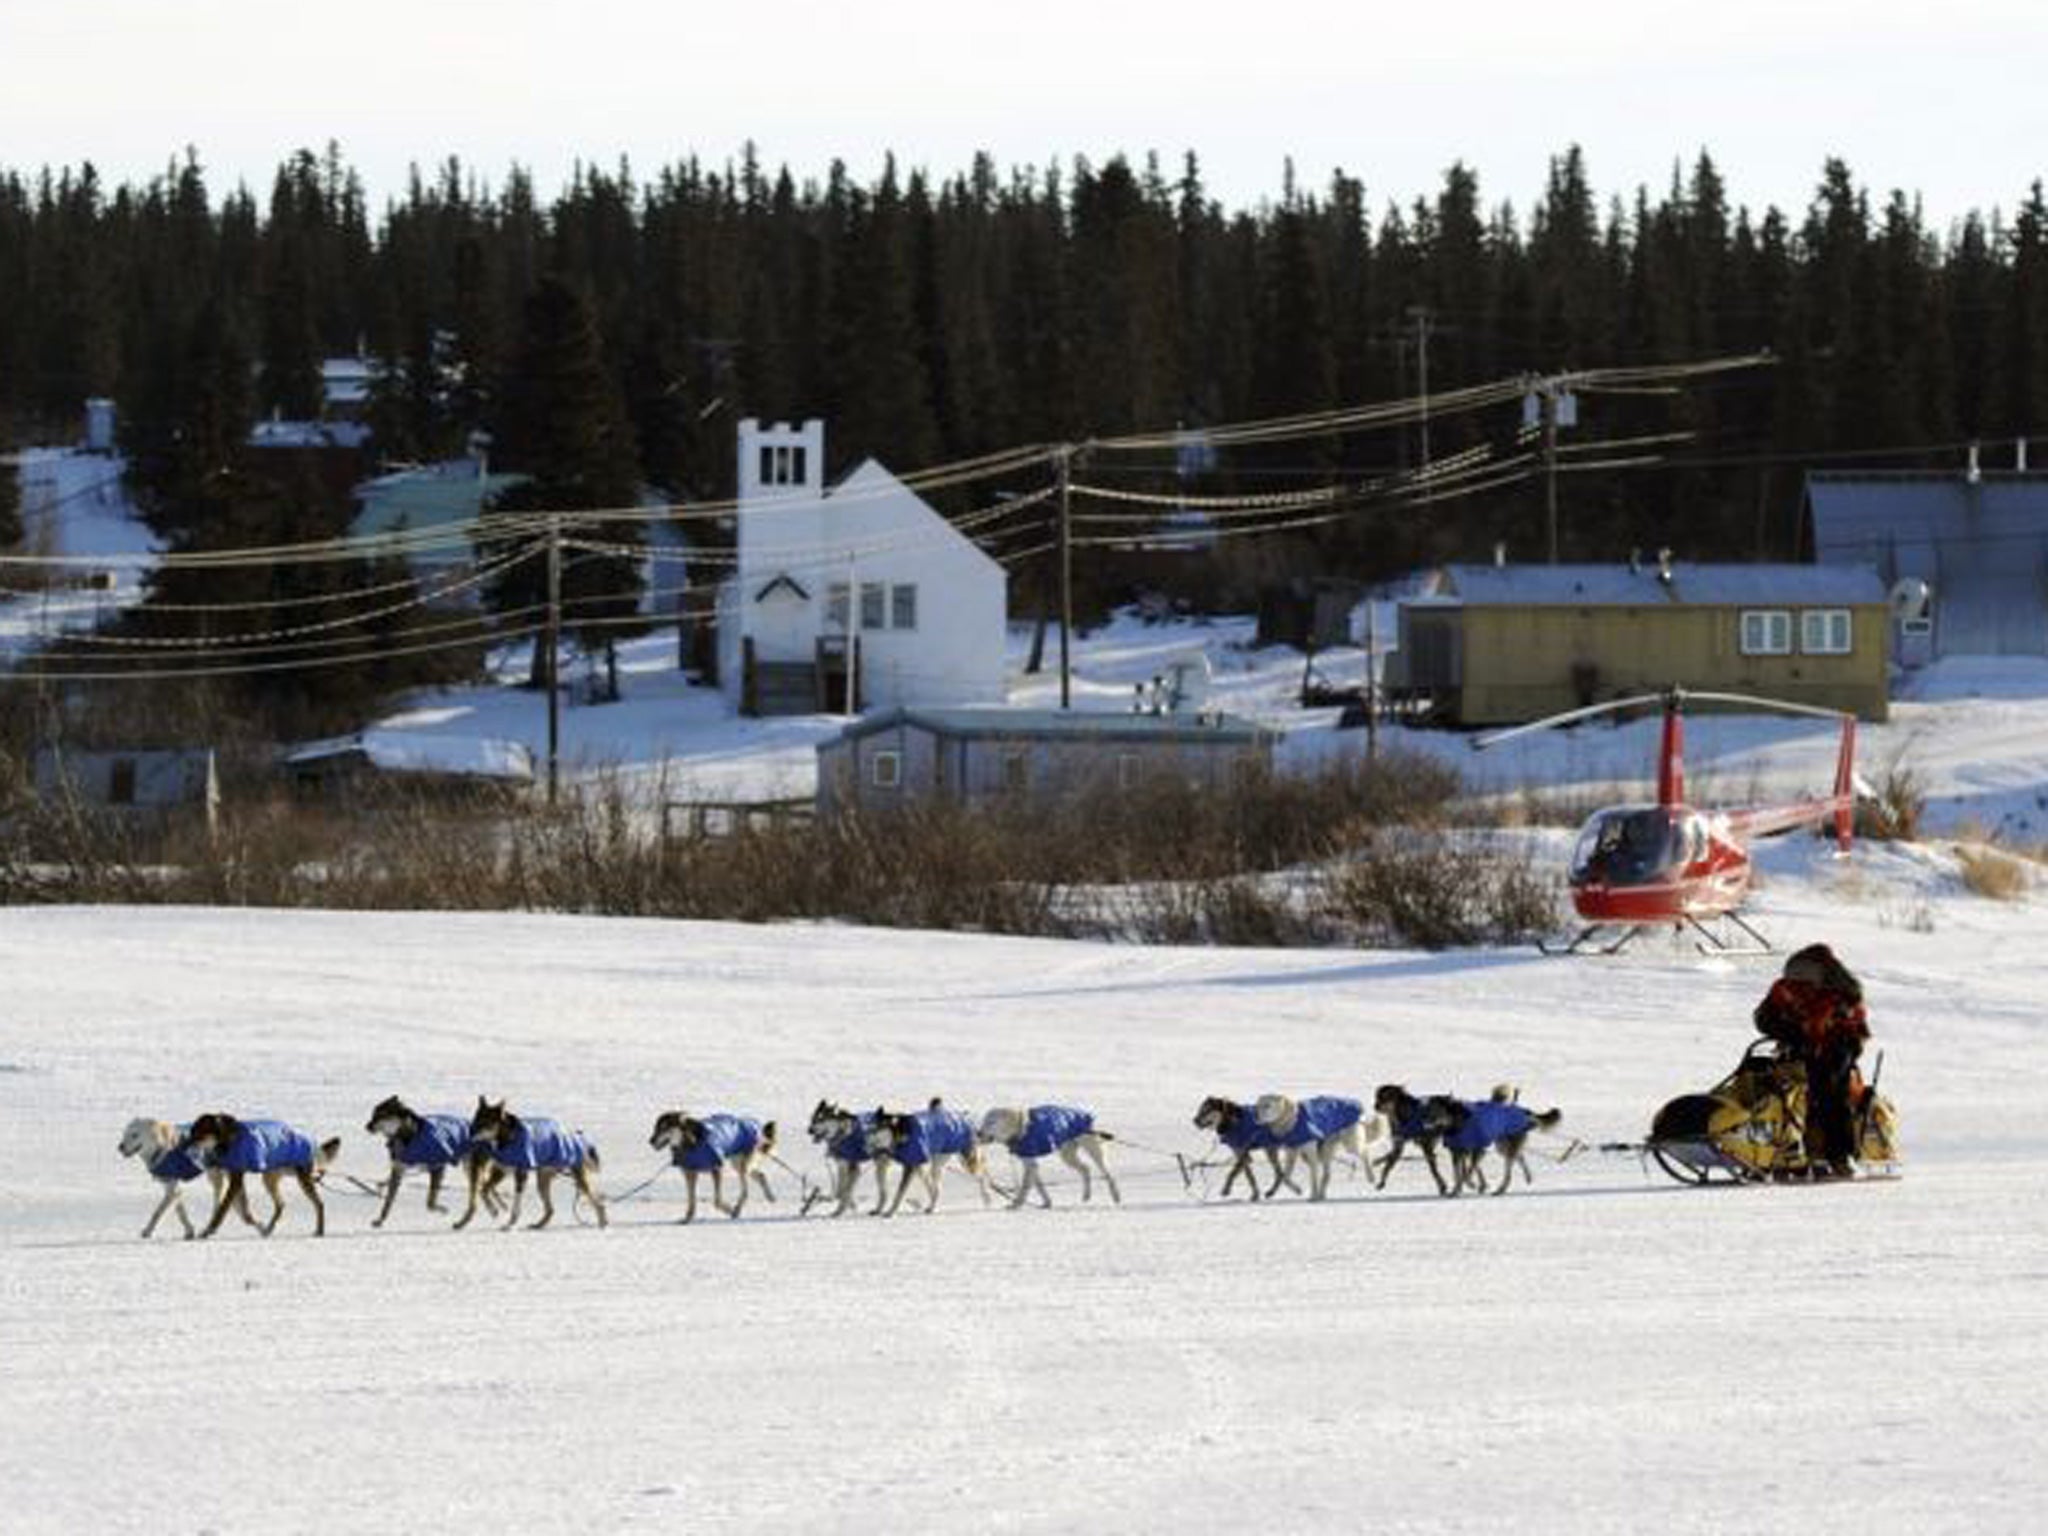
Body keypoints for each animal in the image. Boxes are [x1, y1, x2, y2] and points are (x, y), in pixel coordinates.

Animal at [974, 1105, 1122, 1212]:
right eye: (983, 1121)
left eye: (991, 1122)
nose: (978, 1132)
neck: (1021, 1129)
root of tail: (1086, 1114)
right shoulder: (1029, 1162)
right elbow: (1039, 1185)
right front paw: (1047, 1202)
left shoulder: (1030, 1162)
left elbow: (1025, 1186)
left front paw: (1017, 1204)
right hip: (1067, 1154)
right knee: (1086, 1168)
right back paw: (1086, 1195)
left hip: (1093, 1149)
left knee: (1107, 1173)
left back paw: (1116, 1196)